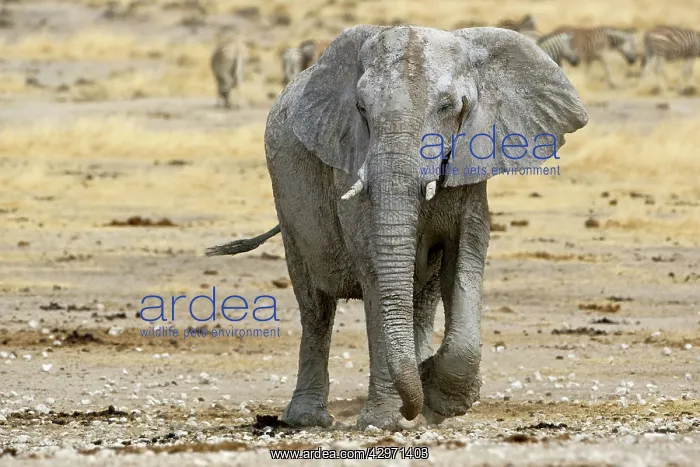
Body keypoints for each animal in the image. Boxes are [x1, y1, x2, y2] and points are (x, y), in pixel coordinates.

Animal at [207, 25, 588, 431]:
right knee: (315, 307)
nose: (411, 411)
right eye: (361, 109)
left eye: (448, 107)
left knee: (422, 299)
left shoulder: (472, 169)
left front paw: (434, 399)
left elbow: (464, 257)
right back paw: (308, 419)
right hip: (287, 202)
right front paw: (387, 421)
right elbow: (376, 271)